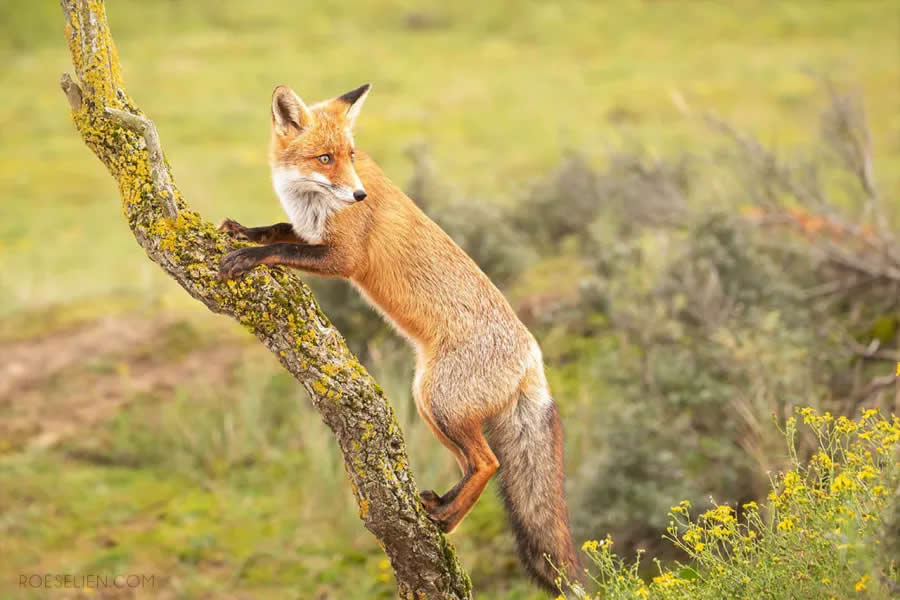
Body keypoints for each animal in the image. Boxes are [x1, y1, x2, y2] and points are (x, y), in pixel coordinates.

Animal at [217, 83, 581, 593]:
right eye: (325, 157)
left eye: (349, 155)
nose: (358, 194)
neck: (311, 201)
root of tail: (533, 356)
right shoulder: (310, 233)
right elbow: (276, 229)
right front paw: (243, 231)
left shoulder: (343, 257)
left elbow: (281, 247)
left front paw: (248, 256)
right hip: (430, 403)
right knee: (475, 464)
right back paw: (442, 508)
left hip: (439, 400)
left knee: (489, 463)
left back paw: (445, 520)